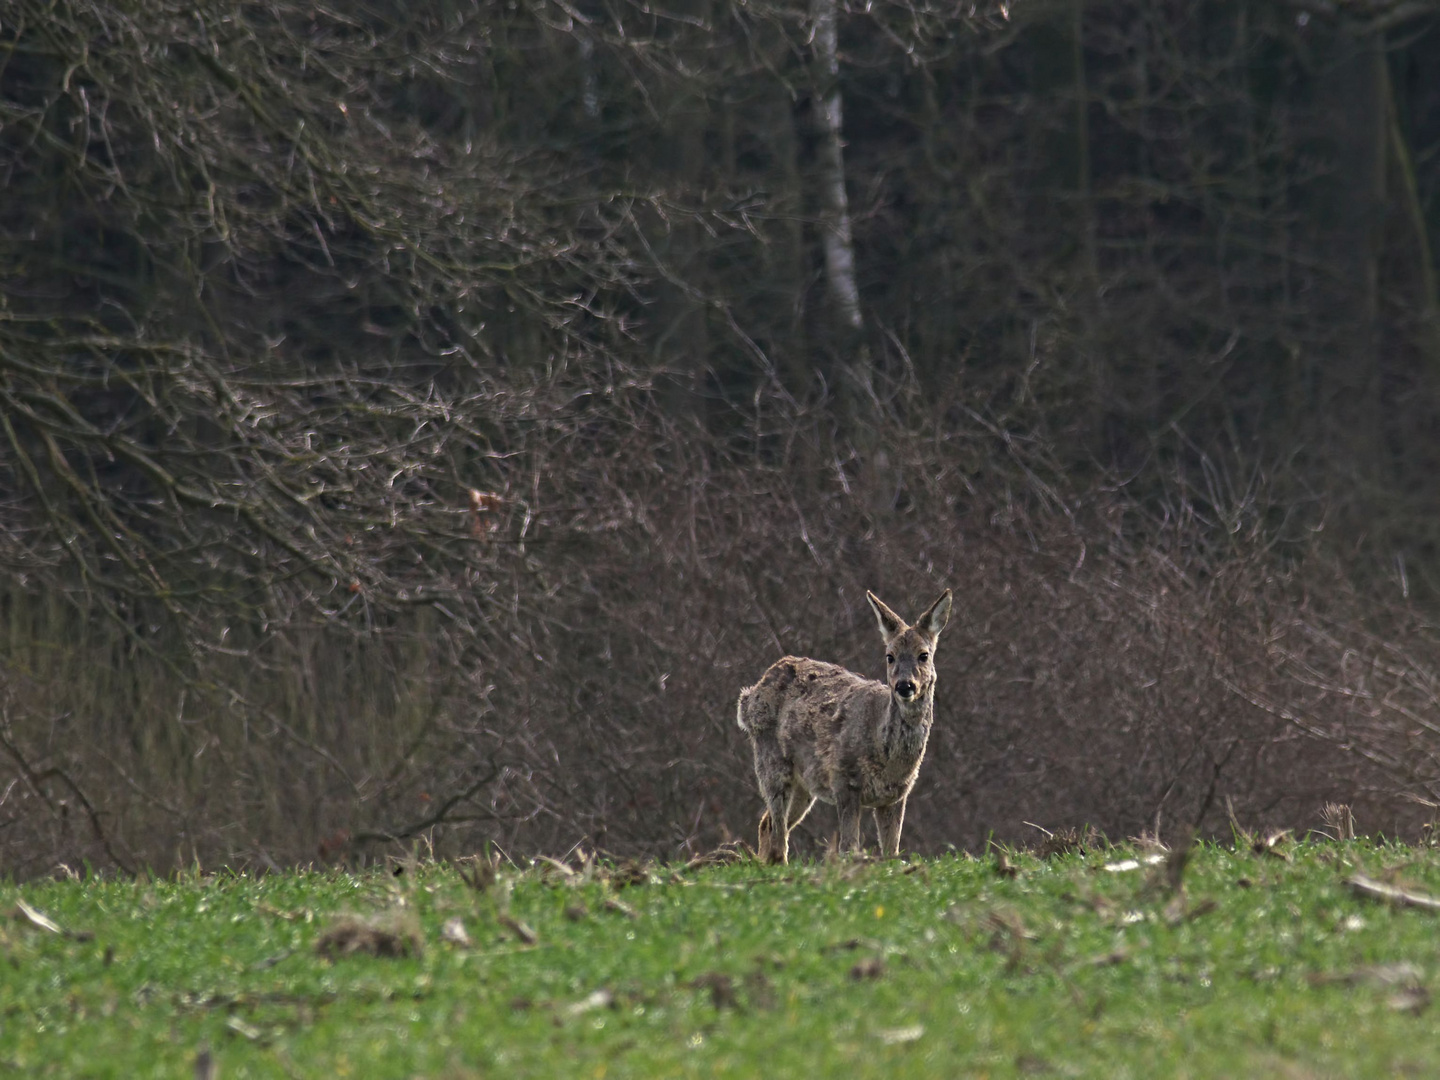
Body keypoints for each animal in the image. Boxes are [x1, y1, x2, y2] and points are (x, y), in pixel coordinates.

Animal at [737, 587, 950, 869]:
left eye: (924, 655)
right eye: (889, 656)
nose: (905, 686)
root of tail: (749, 696)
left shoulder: (896, 795)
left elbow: (891, 852)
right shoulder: (844, 781)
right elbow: (849, 848)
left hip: (804, 783)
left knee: (766, 823)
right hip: (770, 760)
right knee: (777, 830)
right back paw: (778, 865)